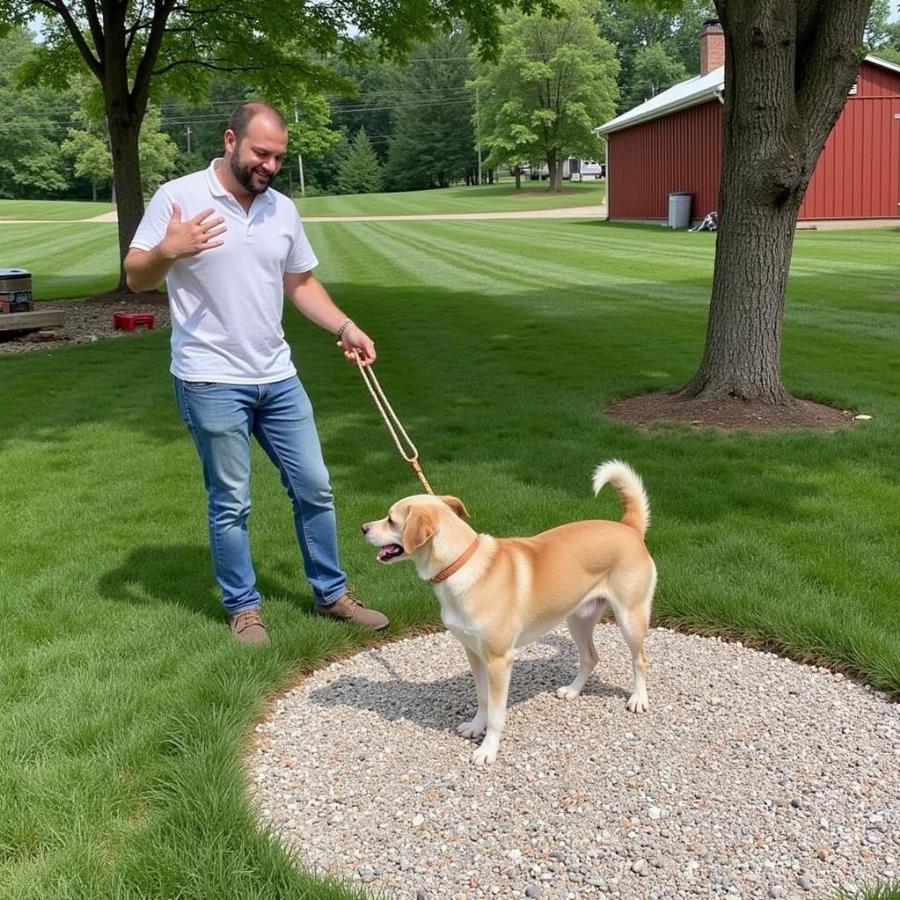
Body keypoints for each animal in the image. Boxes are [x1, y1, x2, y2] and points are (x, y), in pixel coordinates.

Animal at [362, 464, 656, 768]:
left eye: (391, 519)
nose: (363, 528)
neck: (461, 565)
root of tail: (629, 528)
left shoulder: (499, 661)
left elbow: (495, 712)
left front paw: (488, 749)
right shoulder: (475, 653)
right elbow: (482, 699)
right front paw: (475, 727)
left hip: (630, 618)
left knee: (640, 660)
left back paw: (638, 698)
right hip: (578, 619)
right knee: (590, 657)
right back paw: (573, 691)